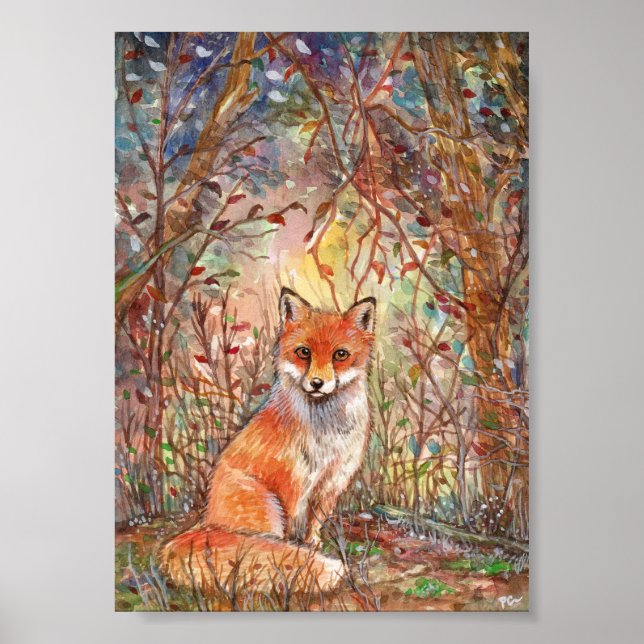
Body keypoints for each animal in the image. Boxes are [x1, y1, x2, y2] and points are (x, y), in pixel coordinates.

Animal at [158, 287, 376, 594]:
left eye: (340, 355)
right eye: (304, 352)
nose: (317, 383)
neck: (327, 433)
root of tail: (203, 524)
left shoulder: (332, 480)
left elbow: (315, 523)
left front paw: (312, 545)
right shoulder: (292, 484)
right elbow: (289, 536)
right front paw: (295, 556)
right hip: (266, 506)